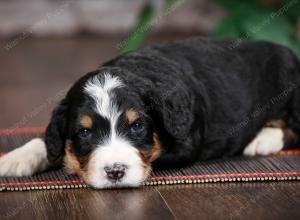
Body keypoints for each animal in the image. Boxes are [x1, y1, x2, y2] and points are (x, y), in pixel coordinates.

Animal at [0, 37, 300, 188]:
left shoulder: (186, 143)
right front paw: (16, 158)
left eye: (136, 127)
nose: (115, 172)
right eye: (84, 132)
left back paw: (262, 140)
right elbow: (49, 141)